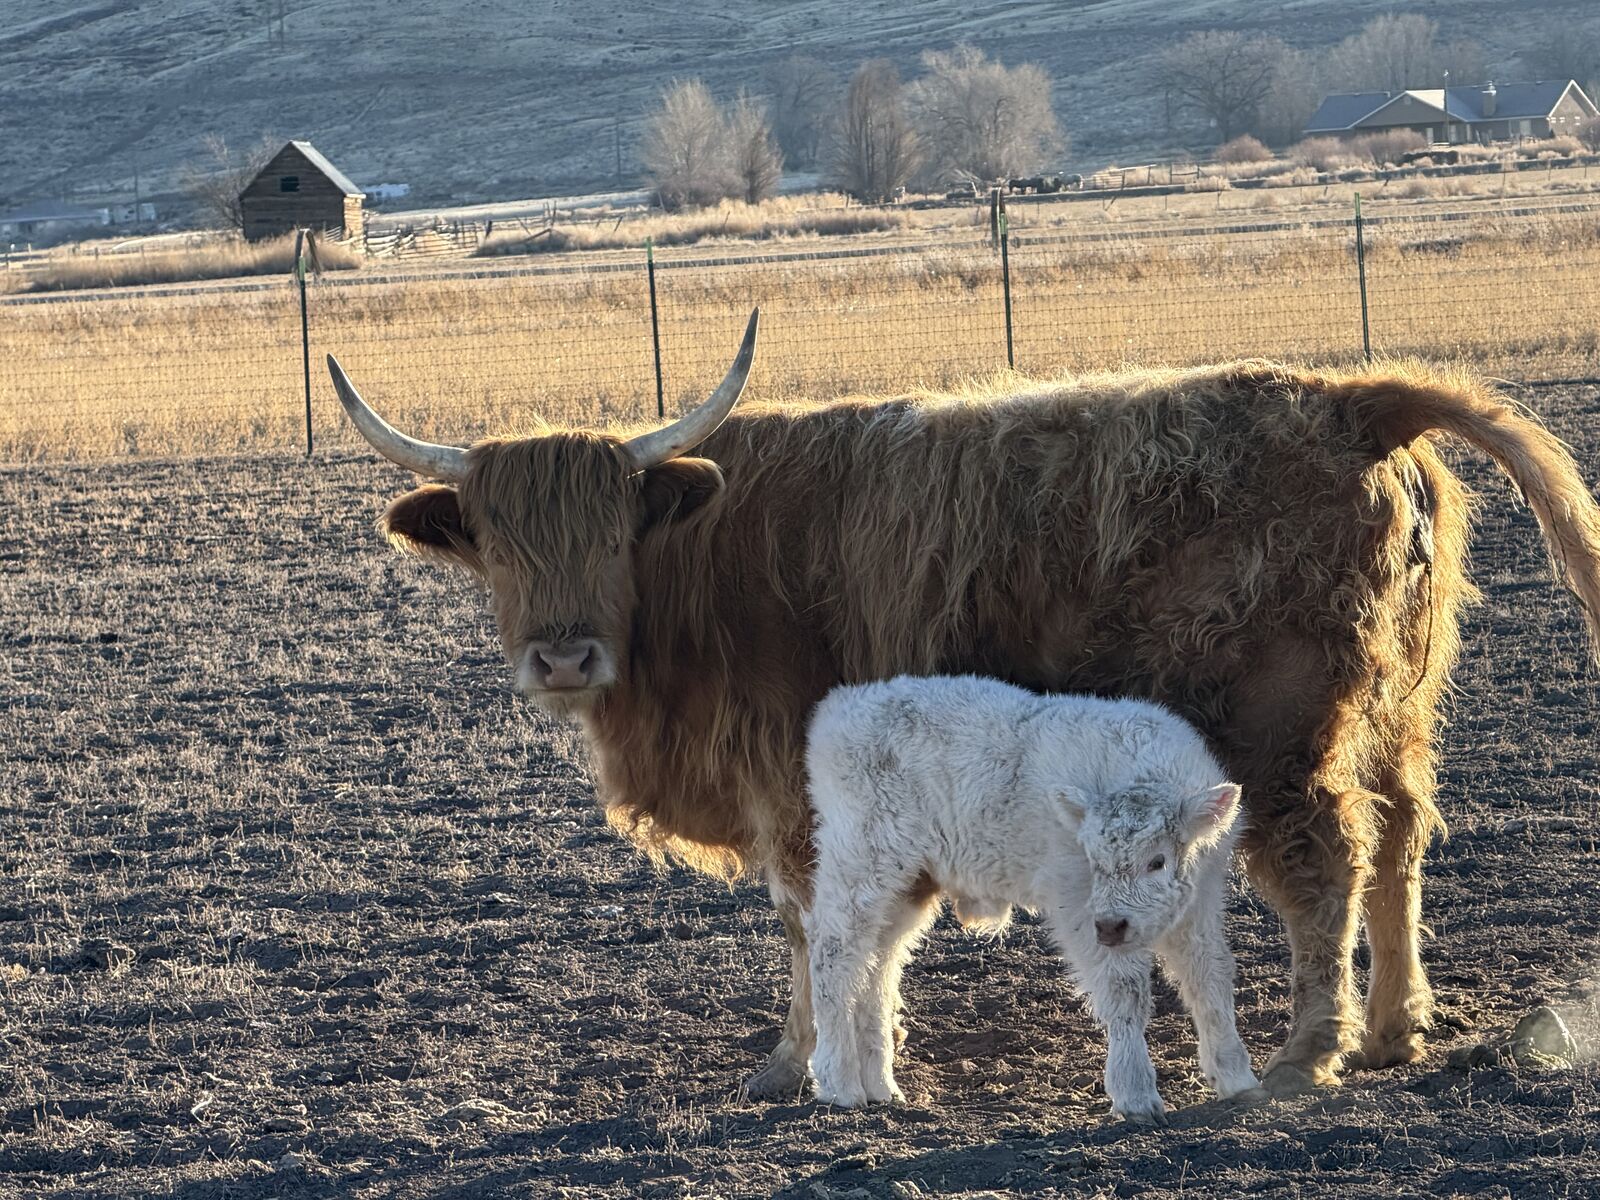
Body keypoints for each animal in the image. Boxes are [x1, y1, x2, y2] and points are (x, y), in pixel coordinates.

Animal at [325, 310, 1600, 1098]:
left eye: (606, 537)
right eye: (497, 544)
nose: (562, 656)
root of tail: (1350, 398)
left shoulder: (794, 783)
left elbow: (810, 919)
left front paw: (804, 1062)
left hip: (1283, 724)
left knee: (1323, 859)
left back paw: (1306, 1051)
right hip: (1390, 709)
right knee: (1401, 836)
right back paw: (1392, 1029)